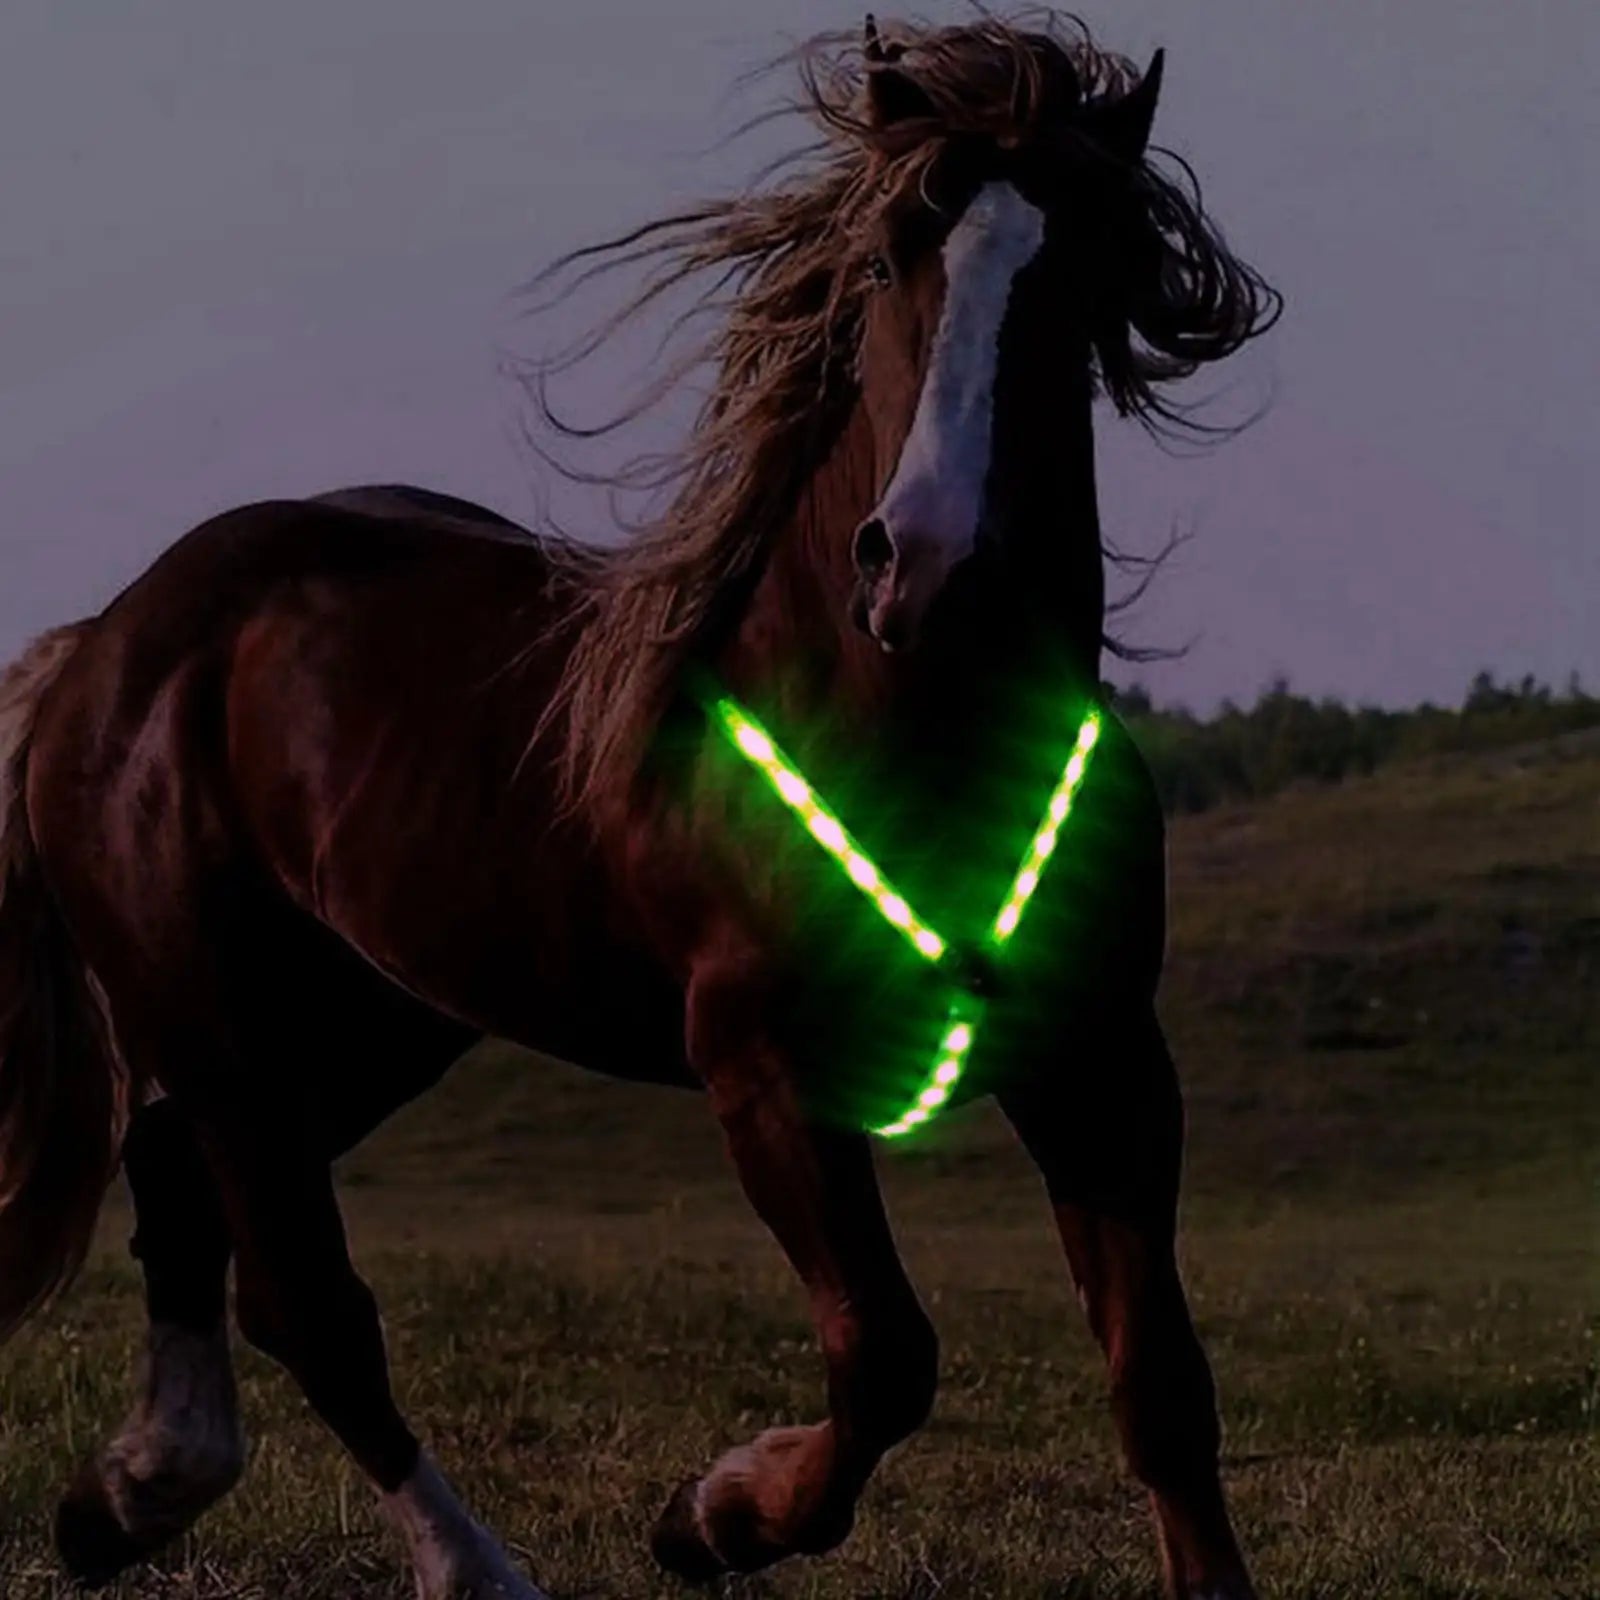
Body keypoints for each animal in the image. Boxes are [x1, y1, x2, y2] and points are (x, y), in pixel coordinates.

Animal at [0, 16, 1279, 1598]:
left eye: (1083, 265)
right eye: (883, 262)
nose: (924, 568)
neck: (910, 722)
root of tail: (106, 642)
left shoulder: (1102, 1061)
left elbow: (1158, 1383)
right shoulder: (764, 1072)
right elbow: (887, 1358)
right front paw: (710, 1515)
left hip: (372, 1017)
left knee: (181, 1186)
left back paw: (125, 1499)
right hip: (218, 1016)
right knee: (308, 1298)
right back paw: (467, 1567)